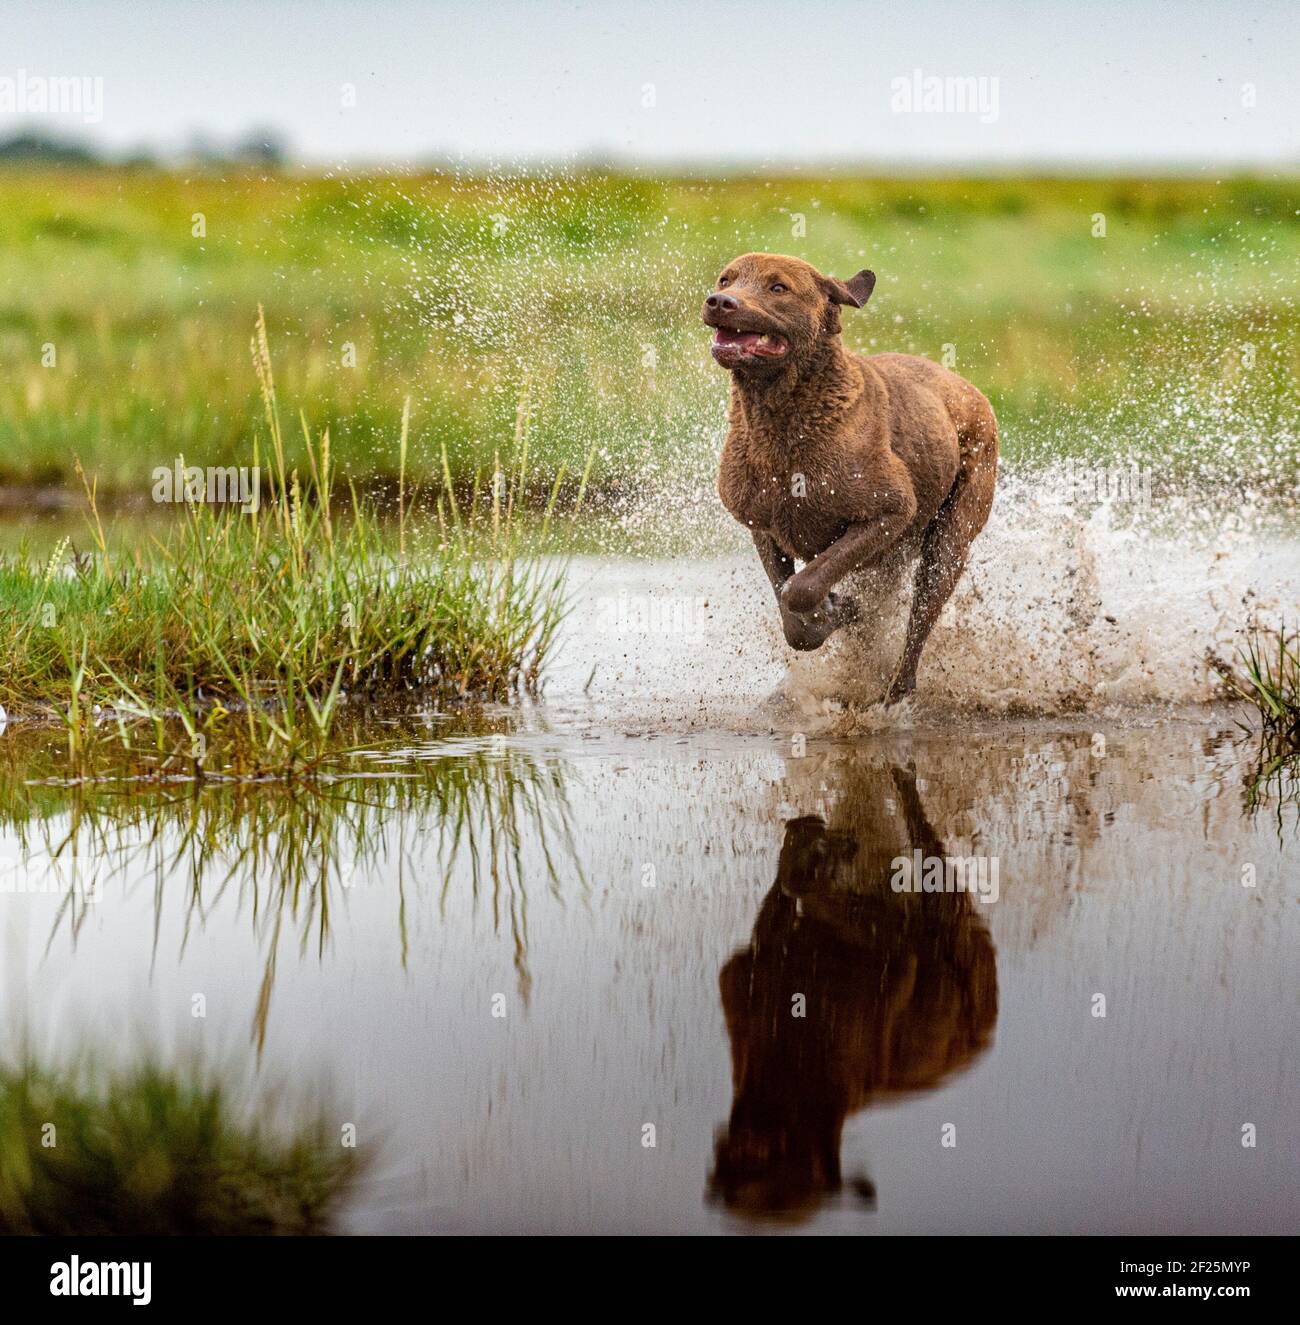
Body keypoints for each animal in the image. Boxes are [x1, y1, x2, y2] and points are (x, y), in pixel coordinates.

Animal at [704, 250, 1001, 704]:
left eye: (778, 287)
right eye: (726, 278)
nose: (720, 301)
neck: (781, 422)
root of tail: (972, 390)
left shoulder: (889, 511)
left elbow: (802, 587)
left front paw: (837, 608)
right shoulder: (761, 521)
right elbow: (787, 601)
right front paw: (827, 616)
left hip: (953, 529)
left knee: (921, 616)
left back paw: (895, 691)